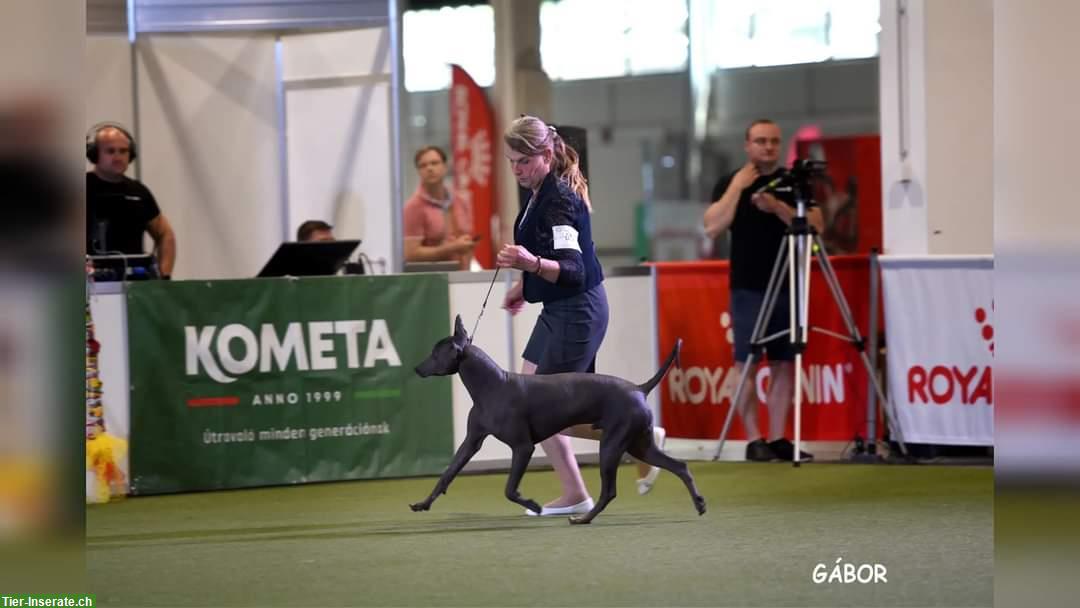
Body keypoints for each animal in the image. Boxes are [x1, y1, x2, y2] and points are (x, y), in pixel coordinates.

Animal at [408, 313, 704, 522]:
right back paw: (698, 502)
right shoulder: (471, 442)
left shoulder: (523, 447)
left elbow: (509, 489)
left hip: (611, 445)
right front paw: (423, 504)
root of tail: (639, 388)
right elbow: (447, 474)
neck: (492, 386)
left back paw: (583, 519)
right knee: (680, 467)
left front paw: (533, 505)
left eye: (435, 354)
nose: (416, 368)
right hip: (638, 445)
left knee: (609, 491)